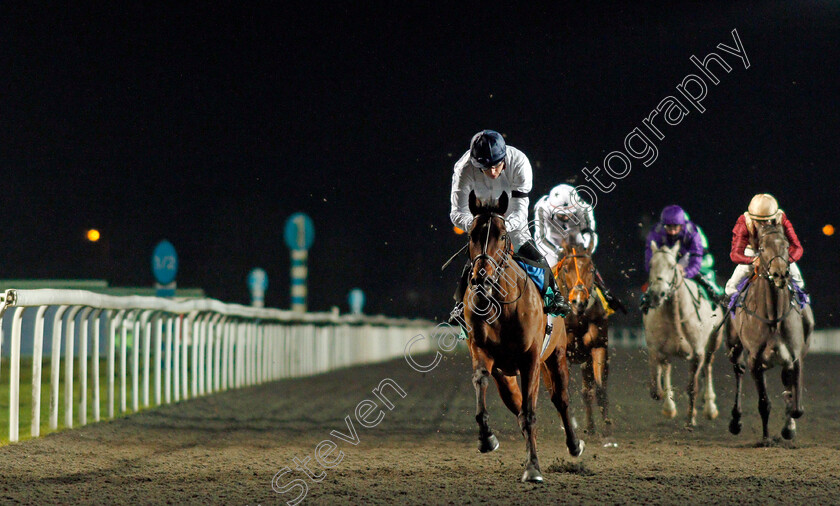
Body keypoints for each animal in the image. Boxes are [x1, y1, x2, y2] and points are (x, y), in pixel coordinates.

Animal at [460, 192, 584, 484]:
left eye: (503, 234)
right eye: (471, 234)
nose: (482, 278)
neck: (500, 306)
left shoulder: (531, 360)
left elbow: (531, 413)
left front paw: (533, 468)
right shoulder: (482, 351)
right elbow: (480, 381)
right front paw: (486, 438)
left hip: (556, 356)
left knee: (561, 400)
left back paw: (574, 445)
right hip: (505, 376)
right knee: (517, 406)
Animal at [556, 236, 612, 434]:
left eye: (592, 269)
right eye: (566, 269)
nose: (579, 302)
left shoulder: (597, 347)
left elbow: (599, 390)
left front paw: (607, 430)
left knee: (587, 390)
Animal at [648, 241, 724, 426]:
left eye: (672, 265)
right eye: (651, 264)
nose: (657, 294)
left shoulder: (697, 353)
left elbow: (692, 387)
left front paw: (690, 419)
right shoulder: (656, 348)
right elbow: (656, 384)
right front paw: (665, 398)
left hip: (714, 340)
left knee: (708, 366)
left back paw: (709, 407)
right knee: (667, 368)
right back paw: (669, 407)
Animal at [728, 219, 812, 440]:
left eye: (786, 246)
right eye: (762, 249)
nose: (780, 273)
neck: (774, 317)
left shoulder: (795, 357)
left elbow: (796, 406)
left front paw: (788, 427)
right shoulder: (755, 361)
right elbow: (764, 403)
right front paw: (766, 437)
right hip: (735, 345)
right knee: (738, 369)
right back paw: (735, 421)